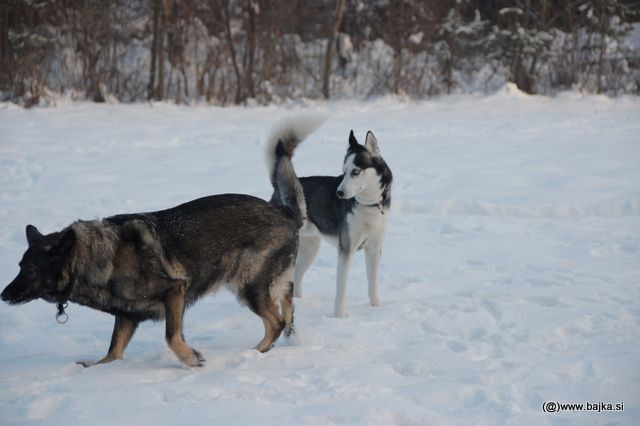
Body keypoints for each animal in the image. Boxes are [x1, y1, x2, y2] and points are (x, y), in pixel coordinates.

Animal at [0, 120, 310, 370]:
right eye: (19, 266)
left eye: (29, 270)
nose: (3, 295)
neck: (99, 258)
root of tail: (284, 212)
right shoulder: (127, 316)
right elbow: (112, 352)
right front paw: (97, 369)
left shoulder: (175, 291)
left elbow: (171, 337)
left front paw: (192, 360)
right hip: (259, 284)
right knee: (287, 312)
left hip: (248, 285)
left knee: (276, 322)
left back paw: (254, 354)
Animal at [264, 123, 390, 316]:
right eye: (343, 172)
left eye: (355, 171)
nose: (339, 193)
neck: (368, 204)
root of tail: (277, 186)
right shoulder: (346, 249)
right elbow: (341, 288)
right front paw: (339, 316)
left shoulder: (374, 249)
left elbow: (373, 284)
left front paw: (377, 308)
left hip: (310, 248)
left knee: (296, 277)